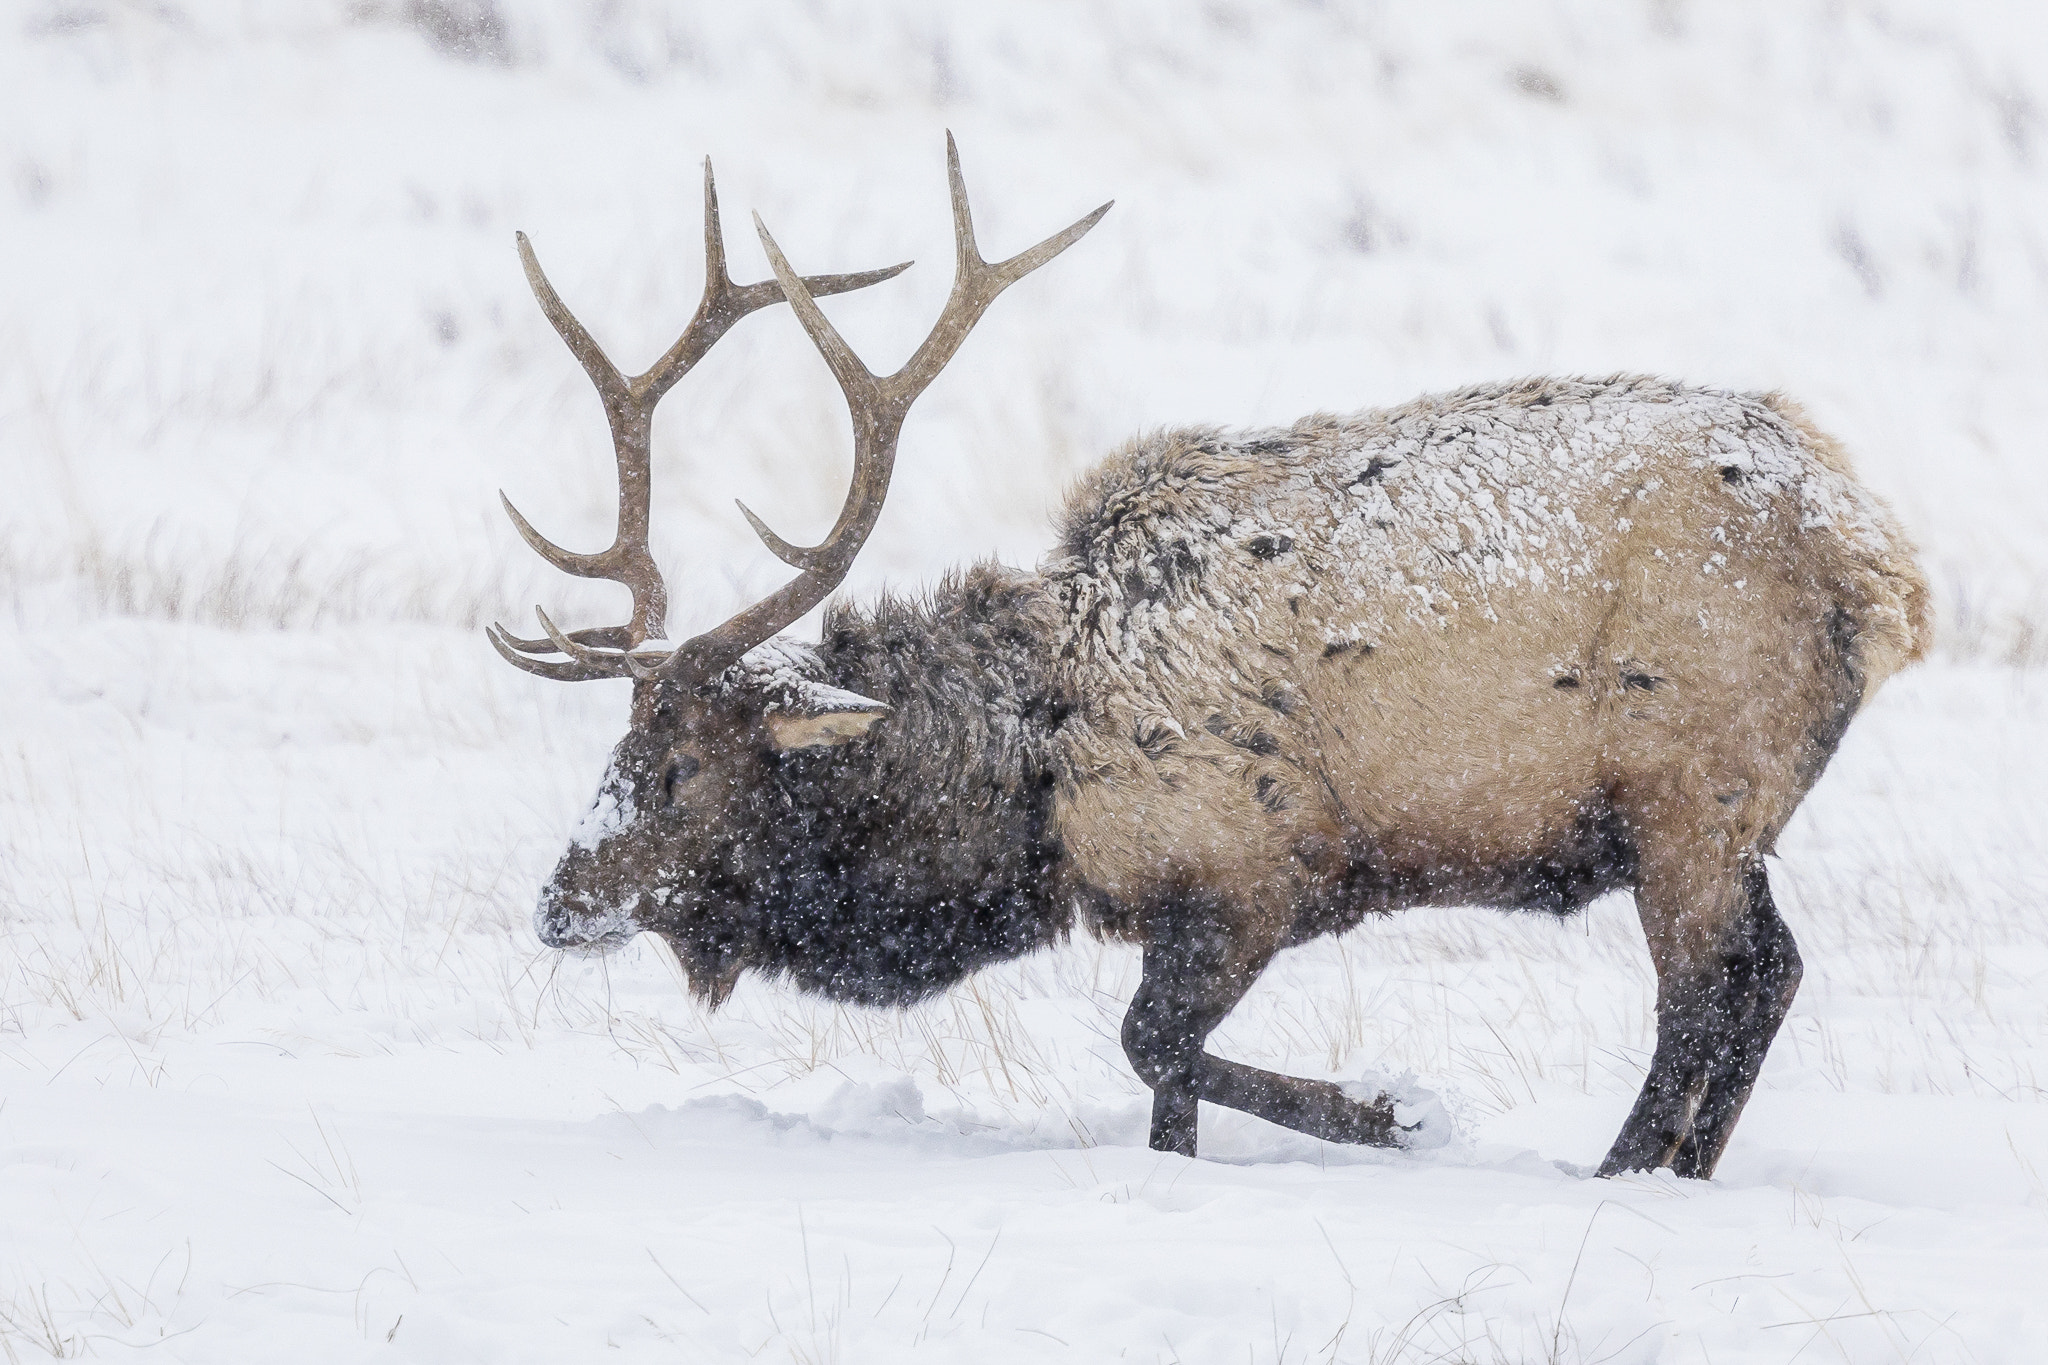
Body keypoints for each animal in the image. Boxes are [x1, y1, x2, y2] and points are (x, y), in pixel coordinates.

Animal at [491, 141, 1916, 1186]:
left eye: (678, 768)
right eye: (617, 747)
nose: (556, 903)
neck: (1034, 784)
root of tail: (1877, 561)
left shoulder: (1250, 870)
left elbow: (1150, 1048)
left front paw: (1391, 1110)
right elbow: (1164, 1081)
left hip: (1690, 798)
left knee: (1704, 996)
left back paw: (1617, 1175)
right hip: (1719, 817)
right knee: (1770, 977)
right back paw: (1674, 1174)